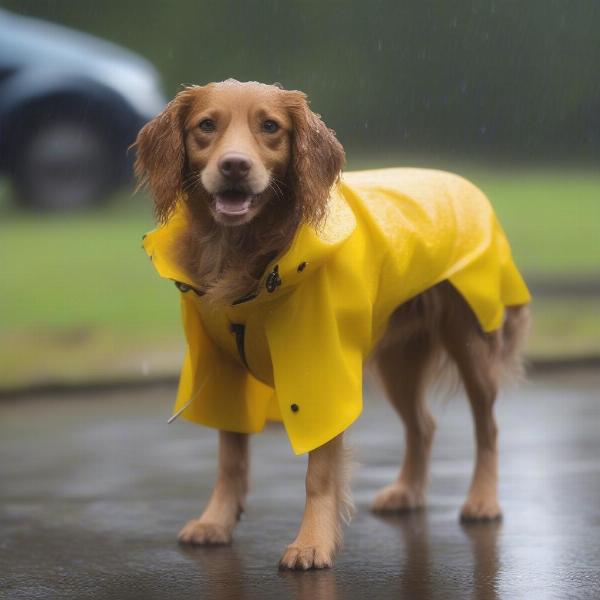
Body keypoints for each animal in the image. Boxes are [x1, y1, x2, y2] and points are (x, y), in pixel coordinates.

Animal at [135, 81, 528, 572]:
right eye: (206, 125)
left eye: (270, 126)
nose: (234, 166)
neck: (245, 257)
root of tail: (464, 184)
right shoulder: (222, 372)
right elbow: (231, 459)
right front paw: (216, 521)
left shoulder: (318, 376)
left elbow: (318, 474)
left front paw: (311, 544)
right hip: (399, 362)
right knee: (423, 424)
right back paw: (408, 491)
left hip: (471, 343)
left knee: (487, 427)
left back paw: (482, 500)